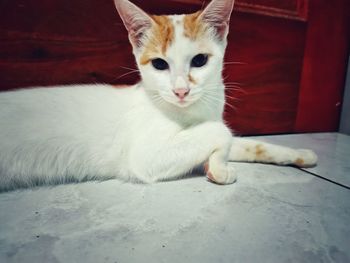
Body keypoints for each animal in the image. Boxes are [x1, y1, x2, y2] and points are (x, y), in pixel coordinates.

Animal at [0, 0, 318, 192]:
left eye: (199, 61)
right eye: (159, 64)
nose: (181, 90)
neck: (192, 112)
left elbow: (249, 144)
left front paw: (299, 154)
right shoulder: (147, 155)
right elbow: (221, 132)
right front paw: (218, 166)